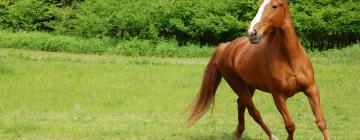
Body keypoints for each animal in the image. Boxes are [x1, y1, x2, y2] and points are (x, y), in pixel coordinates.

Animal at [188, 0, 332, 140]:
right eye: (259, 5)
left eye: (275, 6)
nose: (252, 33)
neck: (290, 59)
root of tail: (226, 46)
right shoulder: (278, 96)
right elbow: (290, 125)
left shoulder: (311, 90)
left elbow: (321, 122)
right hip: (238, 85)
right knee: (253, 112)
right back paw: (272, 136)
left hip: (250, 86)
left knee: (241, 104)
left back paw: (238, 133)